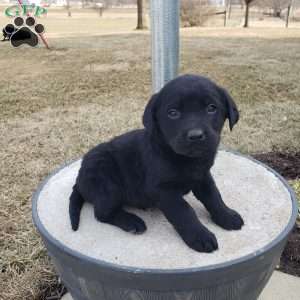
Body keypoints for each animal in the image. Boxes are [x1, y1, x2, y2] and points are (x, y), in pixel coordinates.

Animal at [70, 74, 244, 252]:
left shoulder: (203, 176)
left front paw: (227, 216)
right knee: (102, 213)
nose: (195, 136)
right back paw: (132, 222)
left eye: (211, 108)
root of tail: (79, 180)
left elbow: (214, 196)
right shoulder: (163, 190)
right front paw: (200, 236)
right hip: (107, 184)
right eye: (173, 113)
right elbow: (184, 211)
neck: (186, 159)